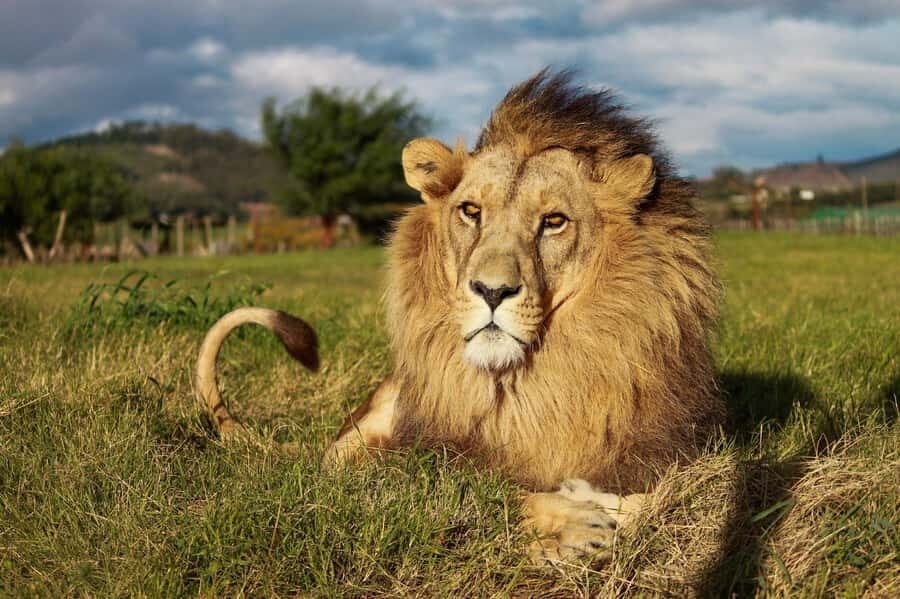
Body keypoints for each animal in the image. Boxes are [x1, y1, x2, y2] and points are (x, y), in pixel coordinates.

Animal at [196, 70, 724, 562]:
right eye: (471, 211)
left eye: (554, 221)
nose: (492, 290)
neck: (529, 385)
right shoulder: (402, 462)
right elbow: (481, 489)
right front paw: (574, 523)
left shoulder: (679, 452)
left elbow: (663, 494)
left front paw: (595, 505)